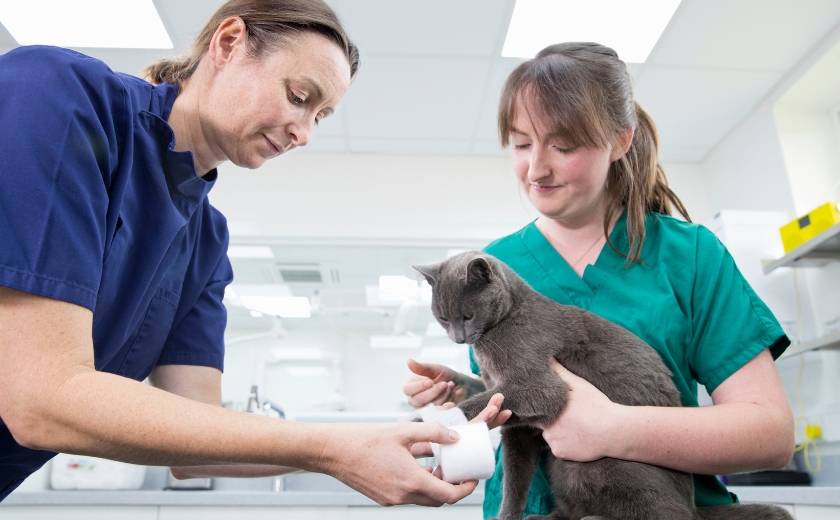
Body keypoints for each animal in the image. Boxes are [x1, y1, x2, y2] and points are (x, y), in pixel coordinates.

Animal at [414, 252, 796, 520]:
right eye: (443, 318)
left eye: (467, 316)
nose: (458, 337)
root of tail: (693, 504)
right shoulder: (519, 427)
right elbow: (515, 479)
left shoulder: (537, 383)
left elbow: (495, 402)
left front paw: (425, 421)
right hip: (563, 471)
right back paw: (548, 517)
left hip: (603, 464)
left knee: (668, 515)